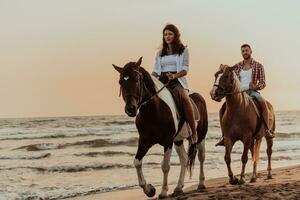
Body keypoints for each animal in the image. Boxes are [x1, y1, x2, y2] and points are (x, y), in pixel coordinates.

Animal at [112, 57, 206, 198]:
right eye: (120, 82)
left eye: (137, 80)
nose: (130, 109)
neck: (154, 111)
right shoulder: (144, 141)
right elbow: (137, 162)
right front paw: (150, 190)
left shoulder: (167, 141)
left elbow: (165, 166)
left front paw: (163, 191)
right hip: (178, 140)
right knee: (184, 159)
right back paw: (178, 188)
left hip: (200, 137)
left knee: (201, 157)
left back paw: (201, 184)